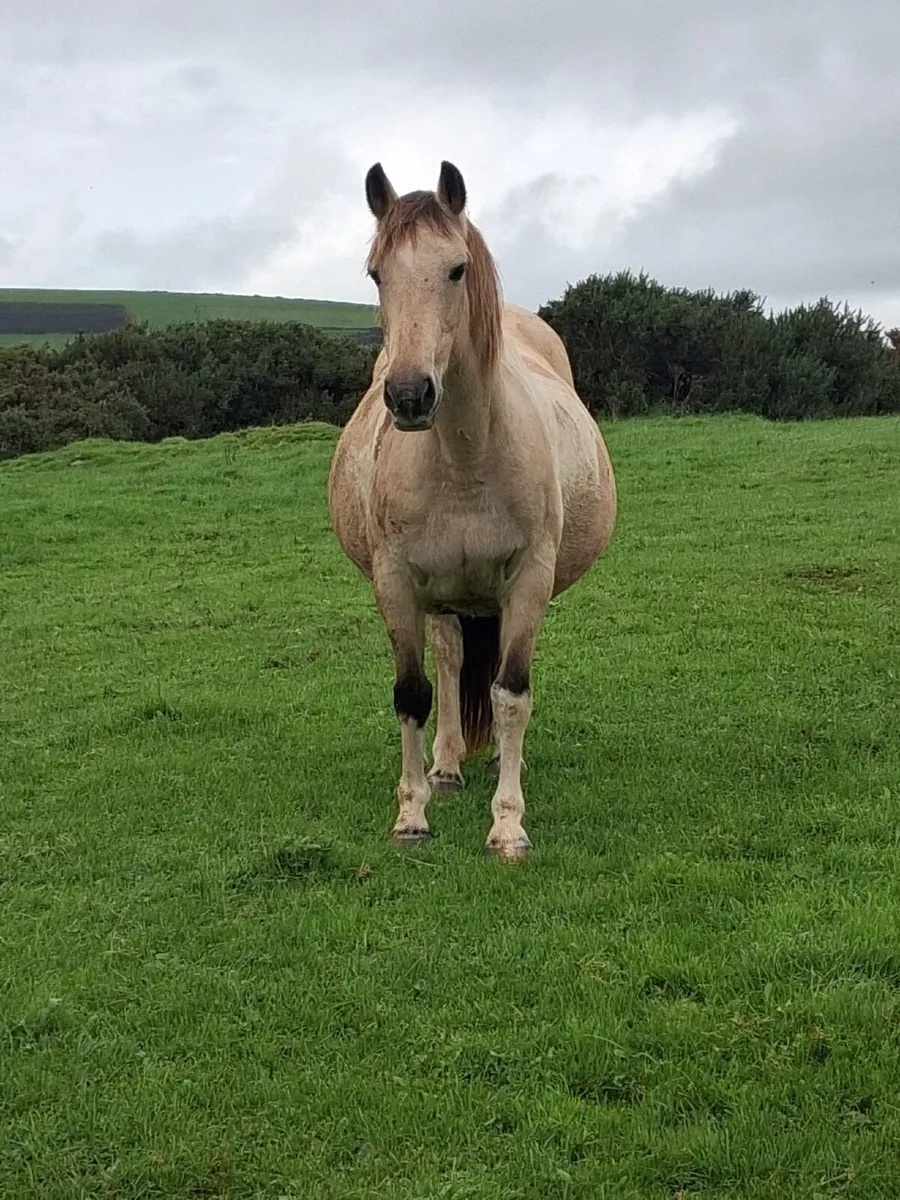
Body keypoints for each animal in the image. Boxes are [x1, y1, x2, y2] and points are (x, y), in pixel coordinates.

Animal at [327, 160, 617, 861]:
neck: (464, 457)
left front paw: (508, 825)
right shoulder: (396, 582)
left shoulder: (529, 578)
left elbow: (511, 694)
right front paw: (411, 815)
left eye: (456, 268)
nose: (409, 396)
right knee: (452, 660)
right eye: (376, 273)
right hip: (444, 595)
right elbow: (413, 693)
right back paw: (448, 765)